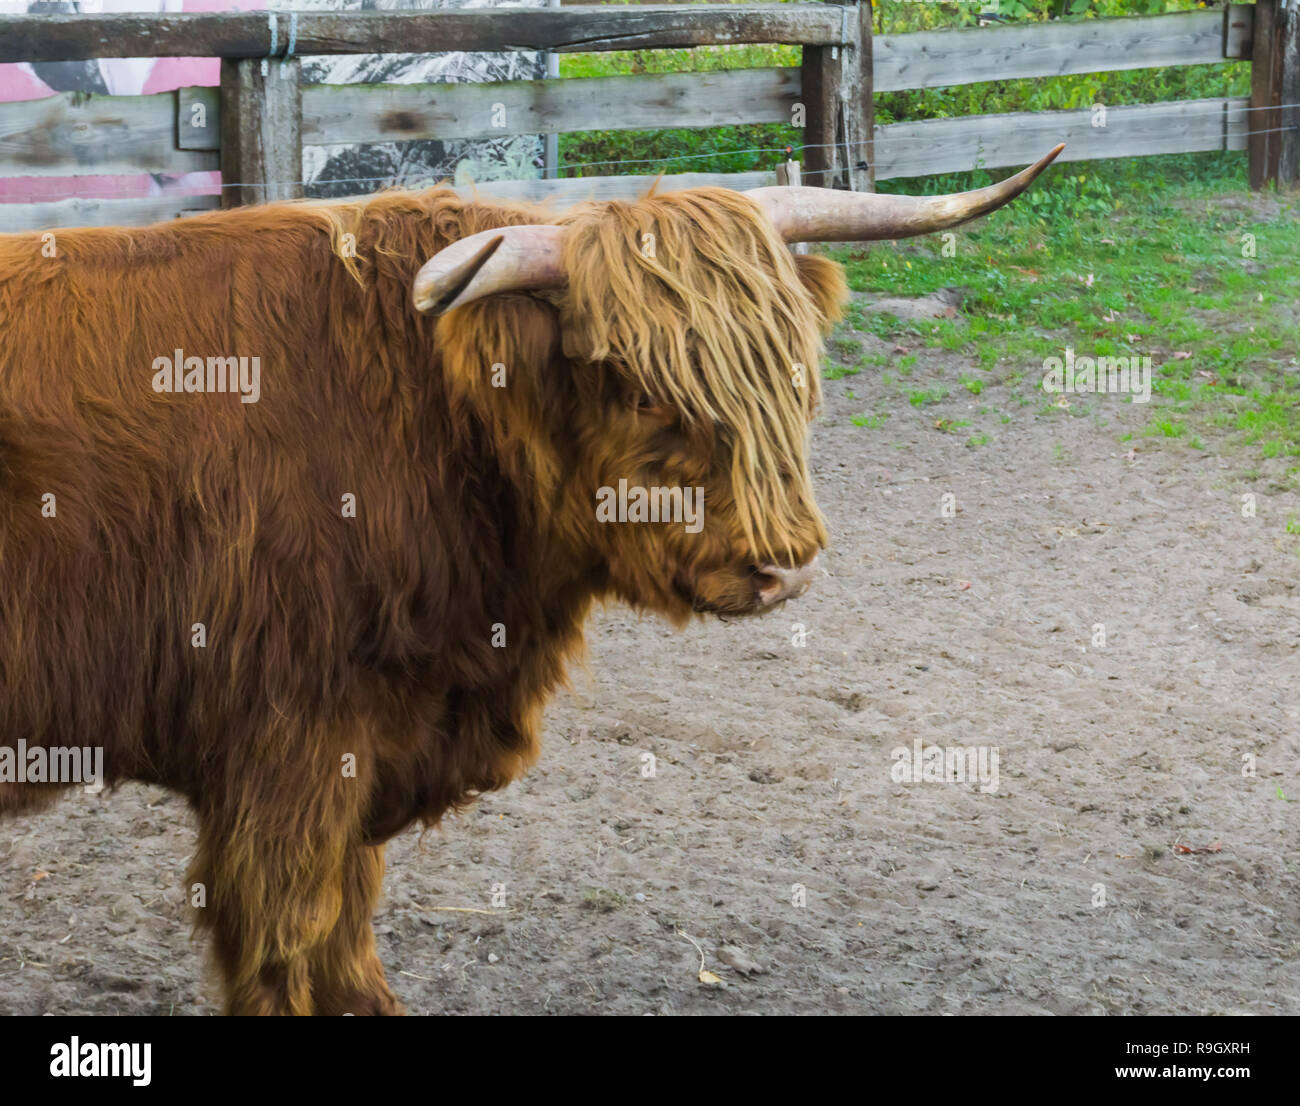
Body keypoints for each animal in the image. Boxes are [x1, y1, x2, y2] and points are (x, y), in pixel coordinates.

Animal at [0, 145, 1062, 1014]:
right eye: (639, 388)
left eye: (790, 369)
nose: (783, 568)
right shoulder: (288, 744)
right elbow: (291, 939)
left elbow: (346, 929)